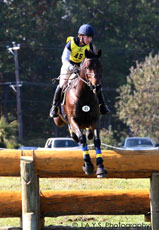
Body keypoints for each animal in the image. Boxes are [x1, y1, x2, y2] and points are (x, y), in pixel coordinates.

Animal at [53, 49, 107, 178]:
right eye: (87, 67)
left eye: (100, 66)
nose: (96, 87)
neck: (85, 94)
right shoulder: (74, 120)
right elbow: (82, 139)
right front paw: (88, 166)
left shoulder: (95, 120)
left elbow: (97, 140)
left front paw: (100, 168)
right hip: (58, 120)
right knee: (68, 126)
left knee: (88, 132)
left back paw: (88, 133)